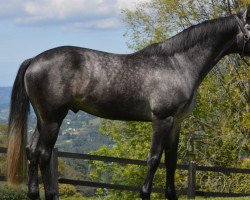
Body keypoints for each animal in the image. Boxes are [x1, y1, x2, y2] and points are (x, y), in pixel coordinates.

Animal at [6, 6, 250, 200]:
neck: (177, 65)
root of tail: (34, 60)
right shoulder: (162, 120)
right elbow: (154, 159)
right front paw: (144, 193)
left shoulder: (176, 123)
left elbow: (171, 161)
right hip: (52, 119)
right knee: (44, 155)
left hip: (43, 120)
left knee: (32, 152)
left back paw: (33, 193)